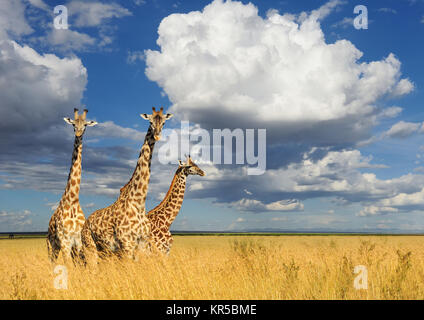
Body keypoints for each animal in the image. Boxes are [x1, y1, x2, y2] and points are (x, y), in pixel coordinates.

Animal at [46, 109, 97, 264]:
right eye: (73, 124)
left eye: (85, 125)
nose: (78, 134)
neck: (73, 201)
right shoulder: (65, 241)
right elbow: (68, 264)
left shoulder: (78, 241)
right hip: (51, 245)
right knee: (51, 262)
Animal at [81, 106, 172, 262]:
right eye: (150, 122)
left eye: (164, 122)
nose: (157, 136)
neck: (139, 203)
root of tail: (85, 224)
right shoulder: (126, 244)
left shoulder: (142, 244)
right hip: (90, 247)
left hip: (104, 251)